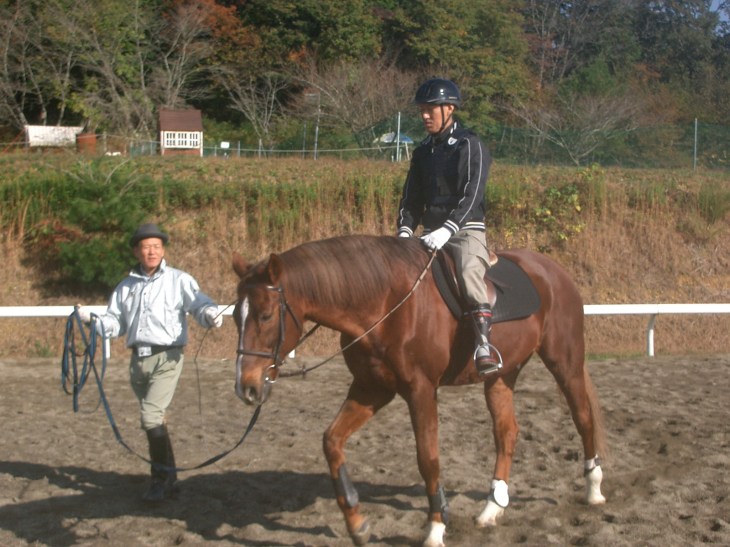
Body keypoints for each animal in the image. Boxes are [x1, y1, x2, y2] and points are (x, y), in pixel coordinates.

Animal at [231, 234, 607, 547]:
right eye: (236, 316)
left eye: (266, 315)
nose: (246, 387)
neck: (385, 303)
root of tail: (553, 270)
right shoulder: (371, 388)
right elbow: (331, 441)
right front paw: (357, 524)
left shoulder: (421, 390)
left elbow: (428, 458)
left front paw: (436, 528)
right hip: (503, 375)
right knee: (506, 432)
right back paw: (492, 508)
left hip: (565, 362)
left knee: (583, 417)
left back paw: (593, 489)